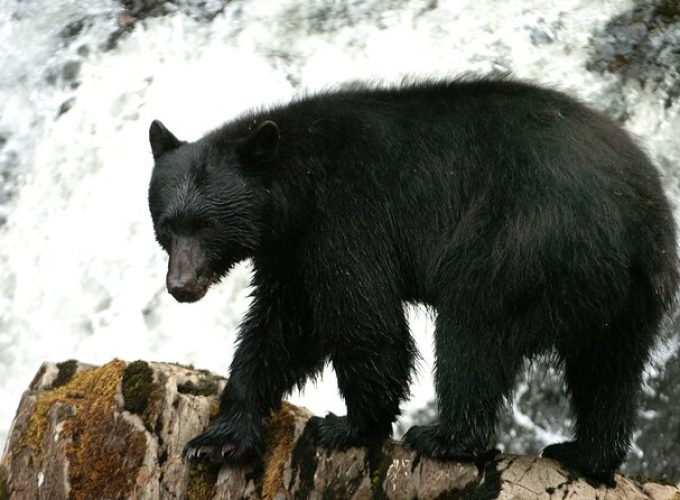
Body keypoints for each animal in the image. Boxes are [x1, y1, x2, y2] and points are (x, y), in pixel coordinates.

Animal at [146, 78, 676, 484]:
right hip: (630, 296)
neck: (298, 185)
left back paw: (444, 437)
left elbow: (363, 319)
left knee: (473, 333)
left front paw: (349, 426)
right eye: (168, 225)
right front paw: (218, 439)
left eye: (207, 225)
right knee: (609, 369)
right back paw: (586, 453)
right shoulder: (290, 251)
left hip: (522, 242)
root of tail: (636, 221)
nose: (181, 285)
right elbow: (280, 329)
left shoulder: (346, 218)